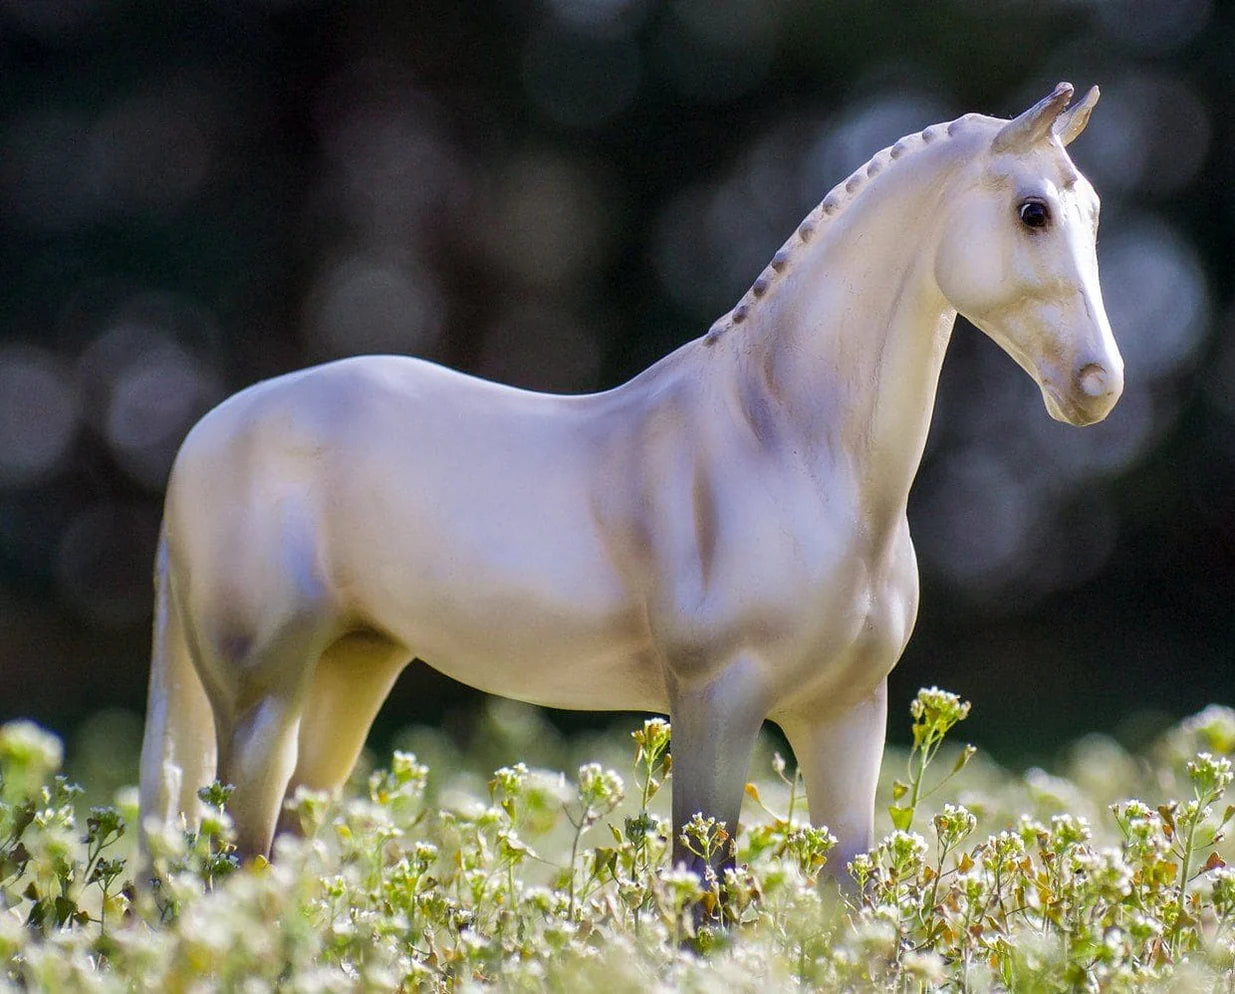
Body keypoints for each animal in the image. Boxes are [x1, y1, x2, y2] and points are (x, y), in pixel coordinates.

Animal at [140, 87, 1126, 874]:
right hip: (259, 699)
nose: (1095, 385)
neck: (788, 444)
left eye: (1093, 212)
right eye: (1031, 212)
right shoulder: (716, 704)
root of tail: (204, 436)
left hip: (354, 667)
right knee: (229, 857)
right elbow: (703, 899)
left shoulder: (846, 712)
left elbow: (853, 904)